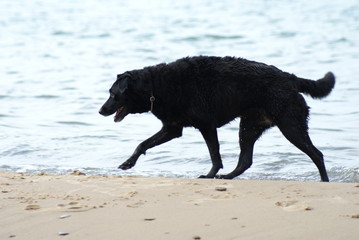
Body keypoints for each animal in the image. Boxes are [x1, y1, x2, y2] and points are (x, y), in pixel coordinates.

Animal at [100, 56, 336, 181]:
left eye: (112, 94)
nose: (100, 111)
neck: (154, 86)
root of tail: (291, 78)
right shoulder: (172, 128)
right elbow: (142, 144)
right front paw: (128, 163)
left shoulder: (206, 125)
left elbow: (214, 154)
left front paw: (209, 174)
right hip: (249, 126)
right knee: (245, 160)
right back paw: (228, 177)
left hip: (290, 125)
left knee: (317, 154)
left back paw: (324, 181)